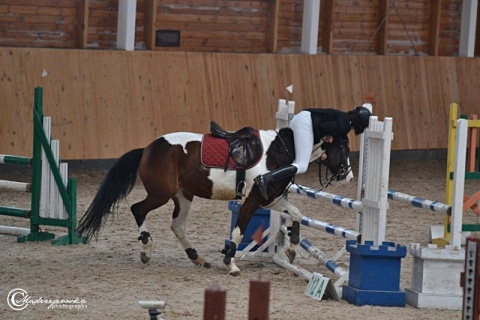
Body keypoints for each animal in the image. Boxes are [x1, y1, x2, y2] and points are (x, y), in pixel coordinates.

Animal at [77, 126, 350, 276]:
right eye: (344, 149)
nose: (348, 175)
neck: (276, 153)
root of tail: (147, 148)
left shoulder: (271, 202)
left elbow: (295, 214)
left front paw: (292, 249)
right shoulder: (252, 201)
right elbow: (239, 231)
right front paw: (231, 264)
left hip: (183, 196)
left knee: (177, 226)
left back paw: (197, 258)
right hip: (161, 194)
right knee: (138, 209)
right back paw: (146, 248)